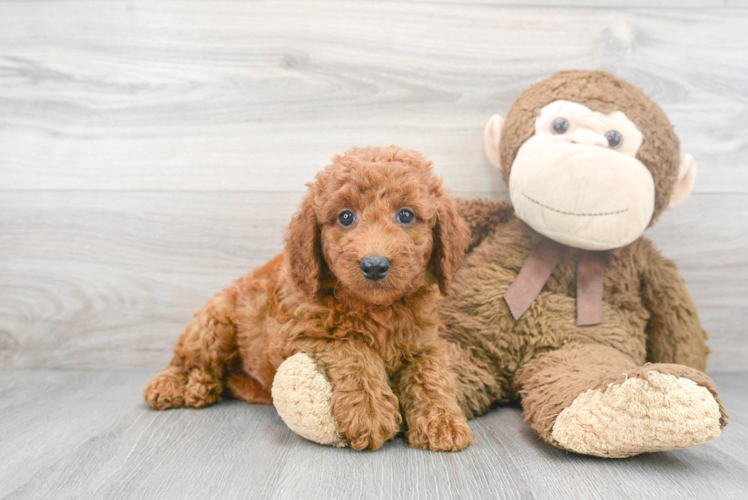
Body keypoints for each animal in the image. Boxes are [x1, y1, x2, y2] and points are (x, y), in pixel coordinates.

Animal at [145, 146, 474, 454]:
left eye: (405, 215)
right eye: (346, 217)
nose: (374, 265)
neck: (374, 308)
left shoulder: (424, 342)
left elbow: (430, 374)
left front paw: (442, 422)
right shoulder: (297, 332)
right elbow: (353, 349)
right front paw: (369, 411)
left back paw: (210, 386)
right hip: (216, 323)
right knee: (186, 358)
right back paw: (171, 386)